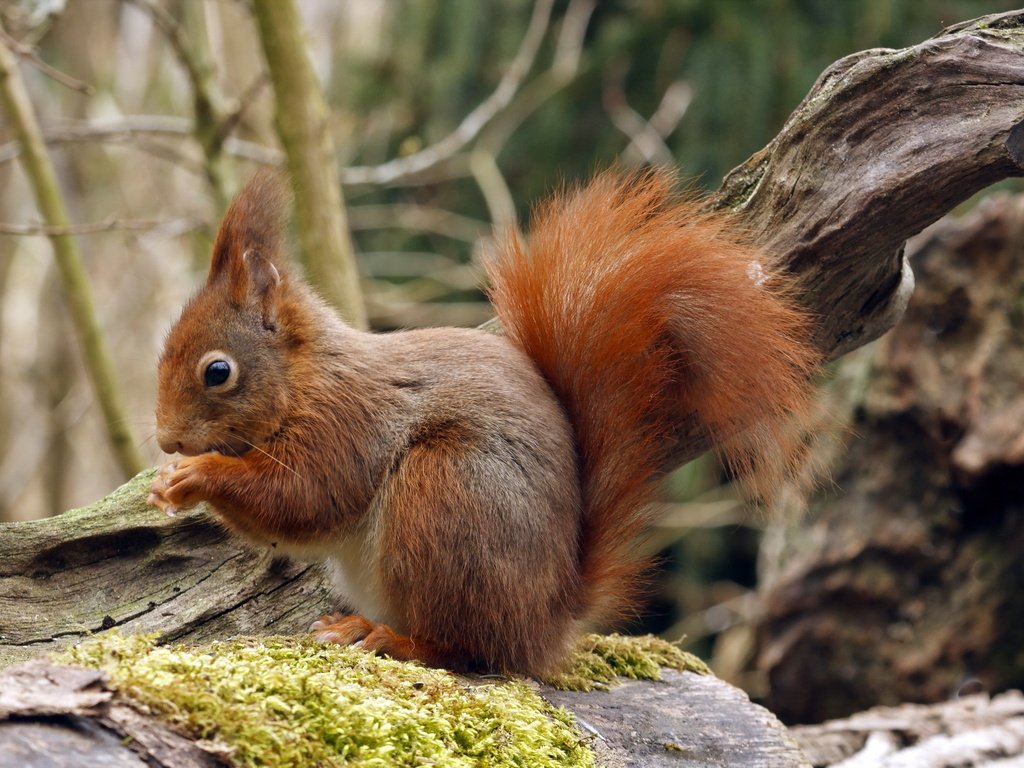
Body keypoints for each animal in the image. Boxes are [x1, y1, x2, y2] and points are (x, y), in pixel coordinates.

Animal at [148, 171, 819, 675]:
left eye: (217, 371)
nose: (165, 439)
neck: (306, 378)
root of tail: (546, 621)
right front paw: (167, 480)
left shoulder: (347, 425)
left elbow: (303, 497)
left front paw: (195, 475)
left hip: (447, 494)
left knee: (466, 650)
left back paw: (389, 639)